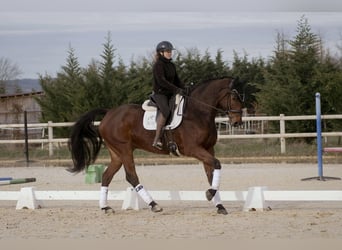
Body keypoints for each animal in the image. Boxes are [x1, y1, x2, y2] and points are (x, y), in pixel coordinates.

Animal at [69, 77, 243, 214]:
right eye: (234, 97)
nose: (237, 122)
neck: (198, 113)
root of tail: (109, 112)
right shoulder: (193, 149)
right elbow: (217, 164)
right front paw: (210, 194)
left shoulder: (208, 149)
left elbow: (211, 174)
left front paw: (219, 205)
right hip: (124, 149)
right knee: (131, 176)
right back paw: (154, 205)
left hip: (117, 153)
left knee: (106, 176)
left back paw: (105, 207)